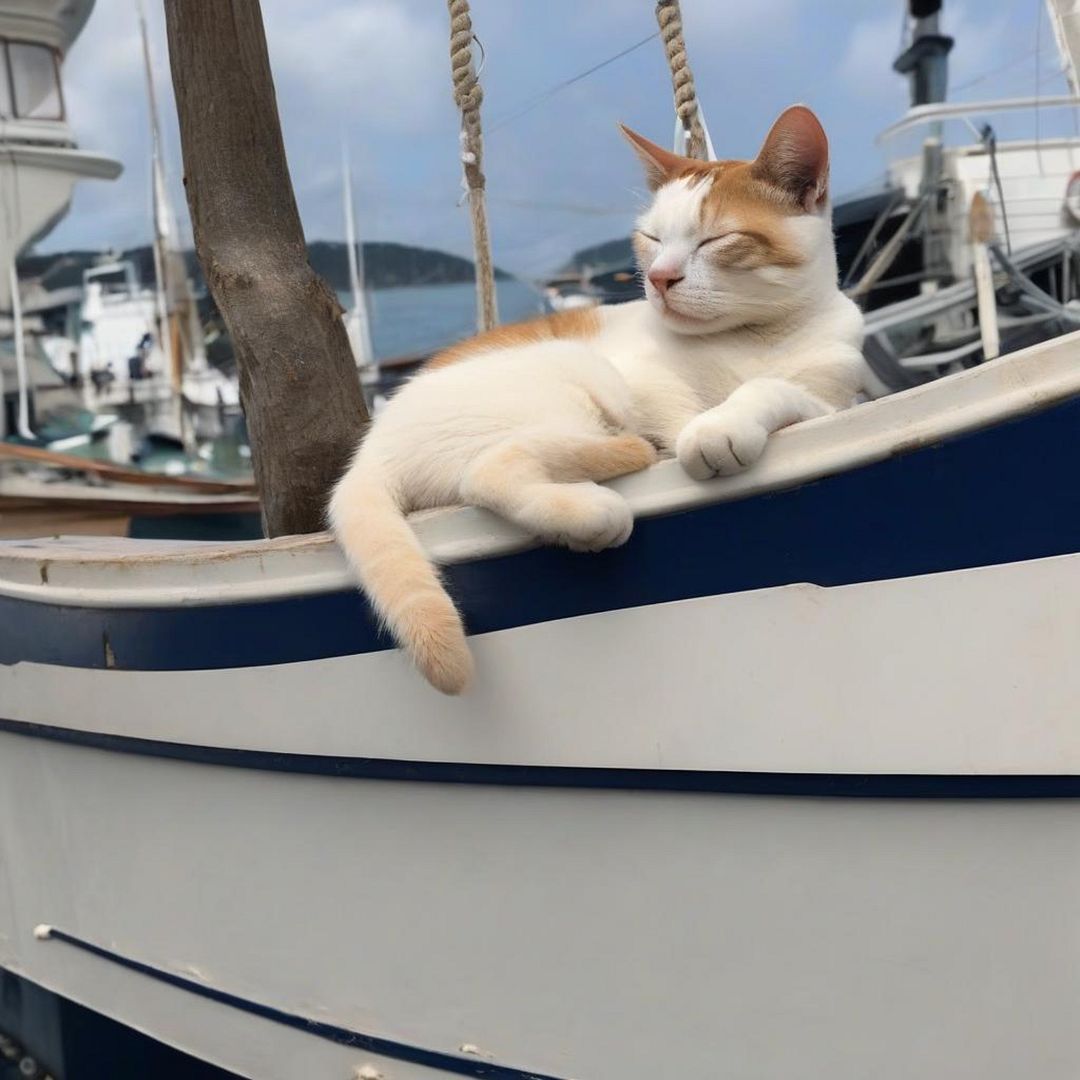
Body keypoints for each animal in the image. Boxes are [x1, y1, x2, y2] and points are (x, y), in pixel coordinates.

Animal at [328, 103, 868, 691]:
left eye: (714, 240)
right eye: (651, 239)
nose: (658, 279)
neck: (759, 336)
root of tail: (368, 453)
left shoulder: (832, 402)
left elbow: (775, 388)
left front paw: (728, 417)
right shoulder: (640, 377)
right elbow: (679, 412)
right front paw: (703, 432)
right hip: (577, 379)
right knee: (490, 470)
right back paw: (599, 502)